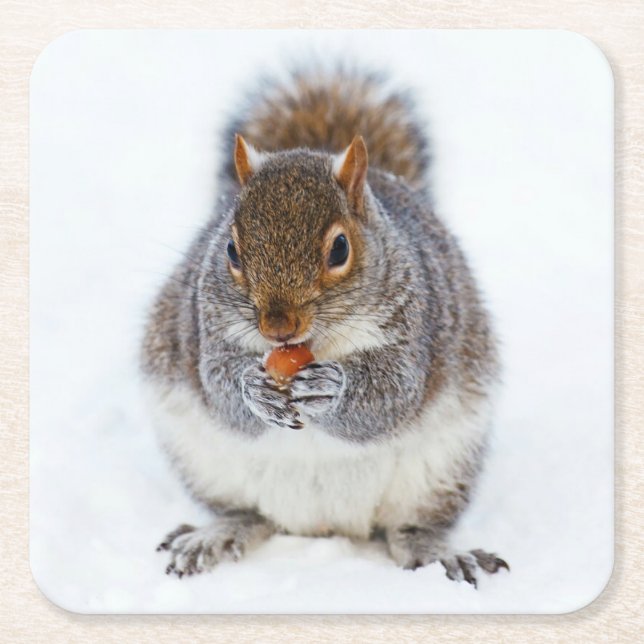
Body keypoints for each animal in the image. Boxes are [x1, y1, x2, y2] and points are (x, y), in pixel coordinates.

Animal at [141, 67, 508, 586]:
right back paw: (215, 535)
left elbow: (393, 396)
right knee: (248, 514)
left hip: (441, 469)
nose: (278, 327)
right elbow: (218, 387)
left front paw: (330, 390)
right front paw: (253, 388)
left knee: (411, 528)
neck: (313, 344)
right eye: (231, 250)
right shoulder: (205, 324)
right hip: (203, 461)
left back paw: (438, 553)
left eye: (340, 249)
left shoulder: (416, 326)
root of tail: (323, 524)